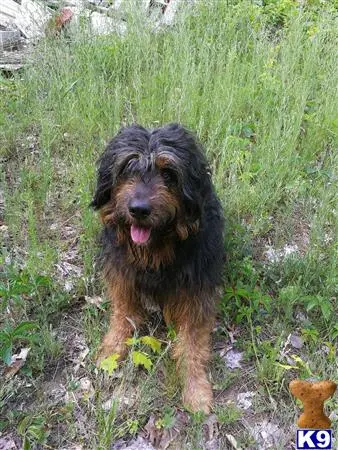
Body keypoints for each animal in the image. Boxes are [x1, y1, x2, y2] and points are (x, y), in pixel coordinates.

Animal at [92, 122, 224, 412]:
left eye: (168, 172)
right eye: (128, 167)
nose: (138, 209)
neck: (155, 252)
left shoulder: (196, 292)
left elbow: (192, 344)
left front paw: (195, 389)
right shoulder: (121, 274)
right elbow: (122, 313)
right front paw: (111, 349)